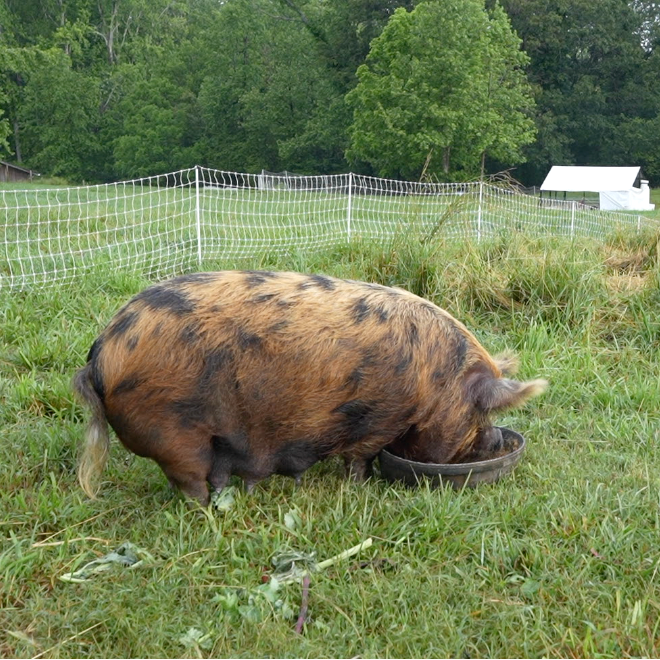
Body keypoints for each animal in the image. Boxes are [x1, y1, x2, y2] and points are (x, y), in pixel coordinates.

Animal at [73, 270, 547, 505]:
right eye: (482, 412)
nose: (497, 438)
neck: (437, 382)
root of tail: (100, 354)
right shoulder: (381, 418)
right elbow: (360, 458)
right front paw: (358, 488)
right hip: (172, 432)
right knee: (189, 483)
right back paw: (209, 513)